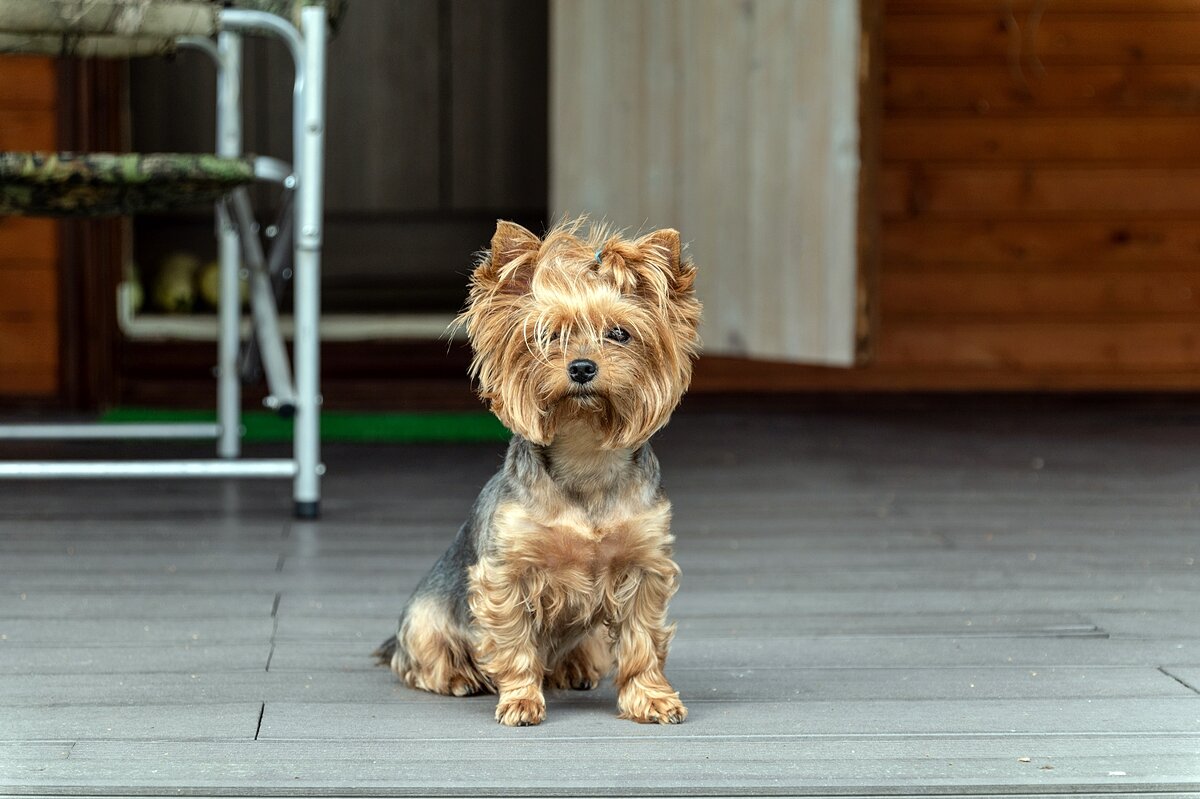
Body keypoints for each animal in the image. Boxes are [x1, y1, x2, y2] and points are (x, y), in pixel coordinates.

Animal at [369, 215, 700, 719]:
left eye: (619, 334)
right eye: (547, 336)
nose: (582, 367)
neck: (584, 452)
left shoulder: (645, 565)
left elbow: (643, 638)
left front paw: (650, 697)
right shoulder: (507, 573)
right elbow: (513, 642)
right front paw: (521, 699)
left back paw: (574, 667)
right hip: (425, 616)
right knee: (422, 657)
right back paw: (459, 677)